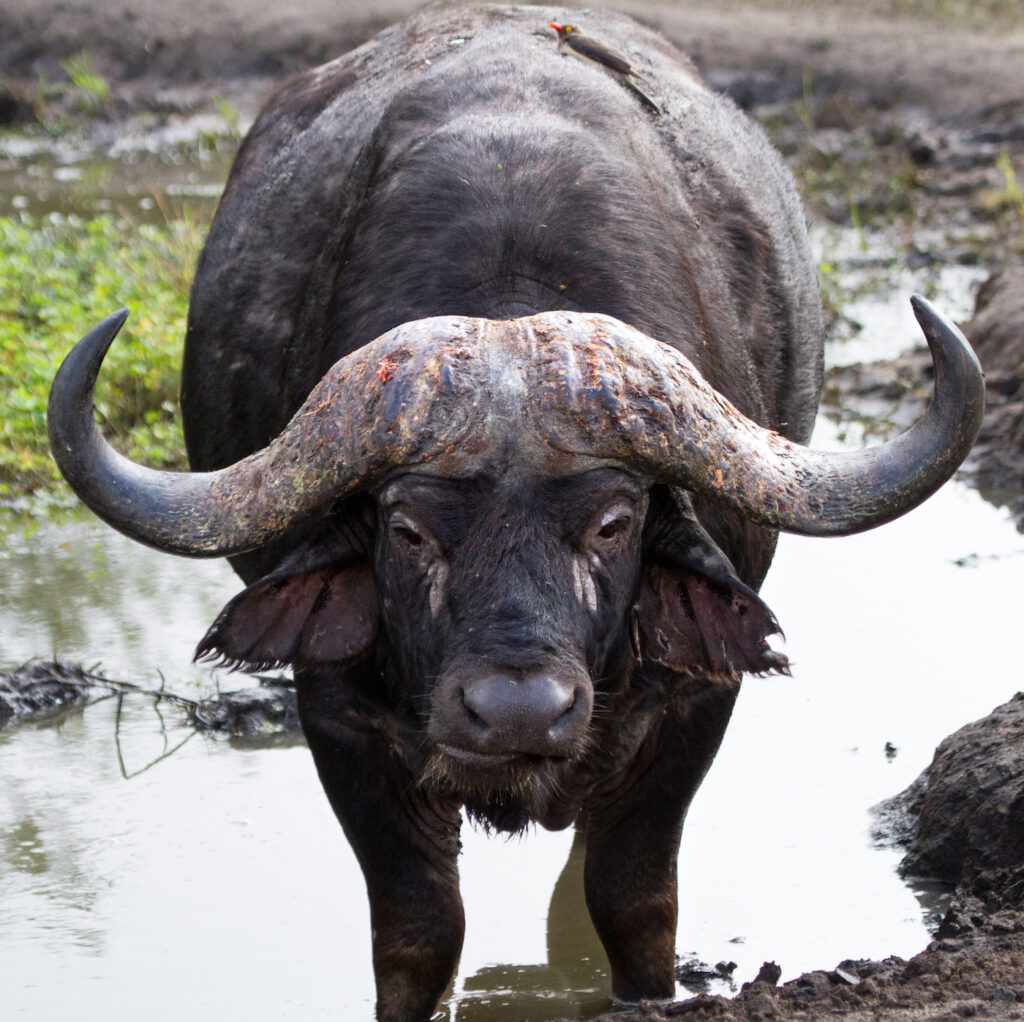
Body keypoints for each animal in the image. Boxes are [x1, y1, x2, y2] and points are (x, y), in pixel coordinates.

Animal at [48, 6, 984, 1020]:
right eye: (408, 532)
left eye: (614, 525)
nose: (518, 710)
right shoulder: (337, 712)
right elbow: (418, 929)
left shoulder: (696, 698)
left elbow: (633, 901)